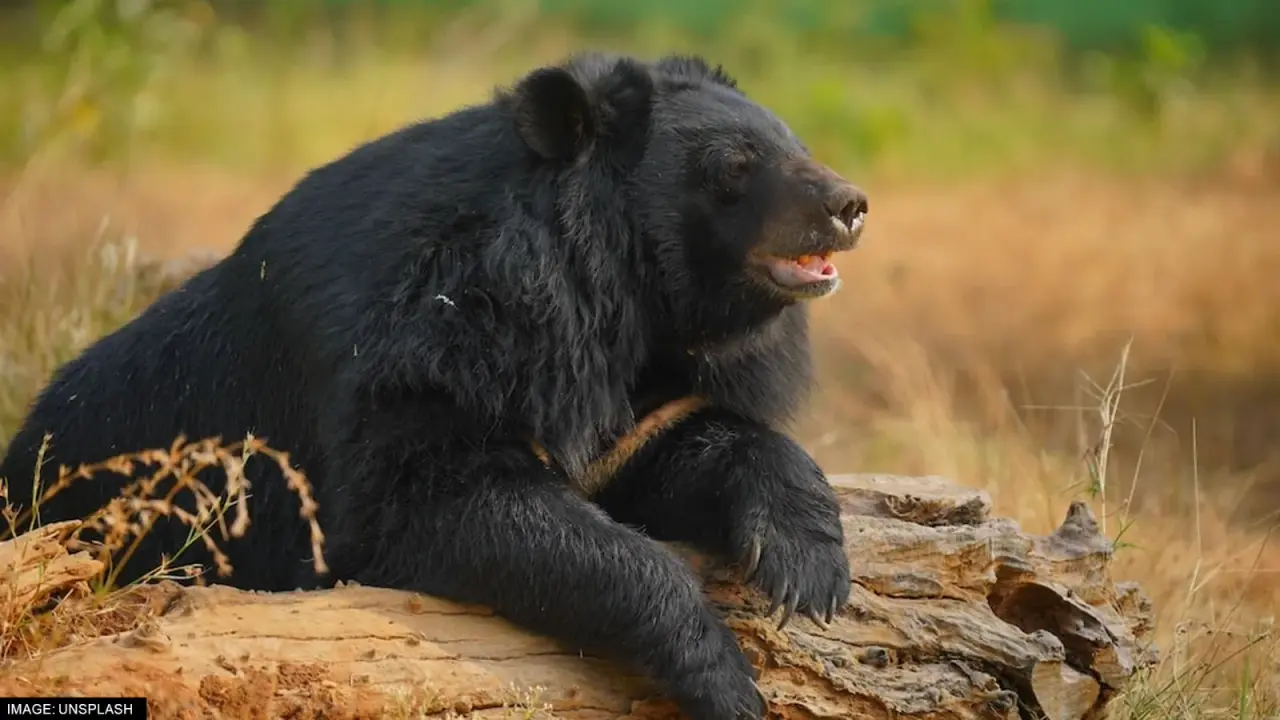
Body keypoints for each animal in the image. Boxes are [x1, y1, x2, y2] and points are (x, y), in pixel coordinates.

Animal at [0, 51, 868, 720]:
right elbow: (436, 501)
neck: (620, 297)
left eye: (798, 144)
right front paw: (725, 678)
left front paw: (806, 570)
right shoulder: (432, 345)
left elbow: (681, 442)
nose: (849, 205)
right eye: (734, 167)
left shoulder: (637, 383)